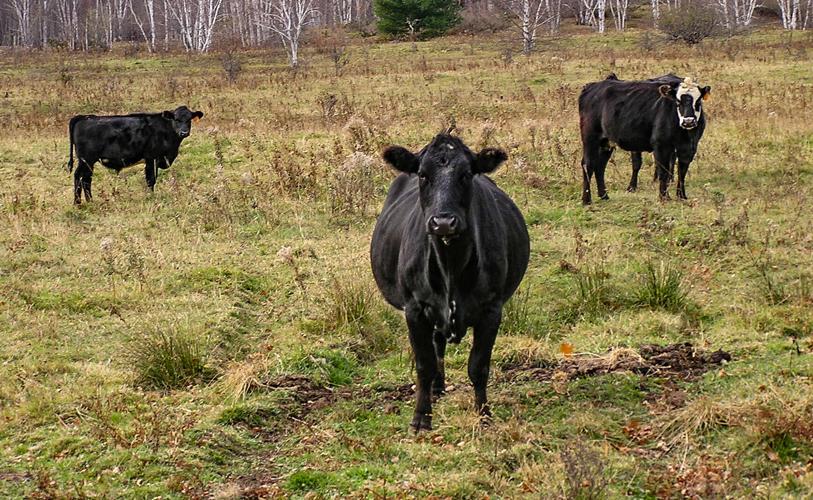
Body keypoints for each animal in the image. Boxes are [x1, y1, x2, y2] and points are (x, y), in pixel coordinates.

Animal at [67, 106, 204, 204]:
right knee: (79, 177)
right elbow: (151, 179)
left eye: (189, 119)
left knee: (86, 179)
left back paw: (89, 201)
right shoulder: (152, 158)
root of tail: (84, 117)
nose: (184, 132)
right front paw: (151, 197)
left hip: (88, 162)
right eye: (176, 119)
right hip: (86, 159)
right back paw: (78, 203)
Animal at [370, 133, 530, 433]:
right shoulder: (415, 309)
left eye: (466, 174)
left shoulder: (492, 310)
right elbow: (424, 365)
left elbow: (478, 366)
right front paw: (421, 417)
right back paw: (436, 389)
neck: (451, 267)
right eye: (423, 175)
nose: (443, 222)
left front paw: (483, 414)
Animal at [578, 73, 710, 204]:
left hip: (606, 142)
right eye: (678, 101)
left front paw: (682, 196)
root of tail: (592, 86)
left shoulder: (689, 147)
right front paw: (664, 197)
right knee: (588, 164)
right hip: (590, 138)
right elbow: (663, 171)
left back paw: (604, 195)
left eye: (698, 101)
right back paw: (586, 199)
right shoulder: (661, 146)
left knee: (600, 166)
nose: (688, 121)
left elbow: (682, 172)